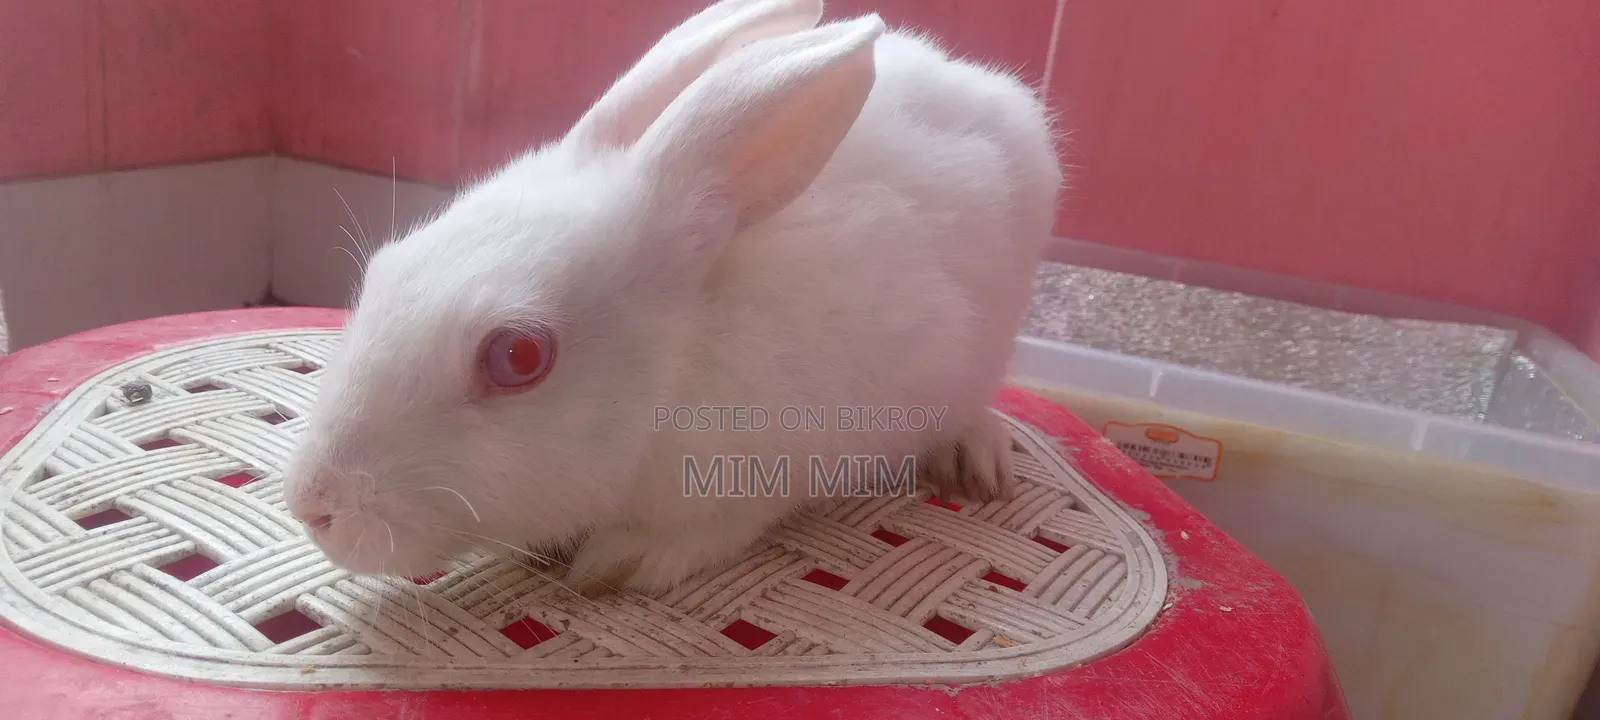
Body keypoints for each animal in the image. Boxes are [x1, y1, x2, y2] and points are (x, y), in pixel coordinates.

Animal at [282, 0, 1062, 597]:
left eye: (518, 355)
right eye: (385, 268)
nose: (312, 505)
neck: (677, 369)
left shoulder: (773, 467)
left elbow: (705, 531)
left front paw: (621, 562)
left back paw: (977, 456)